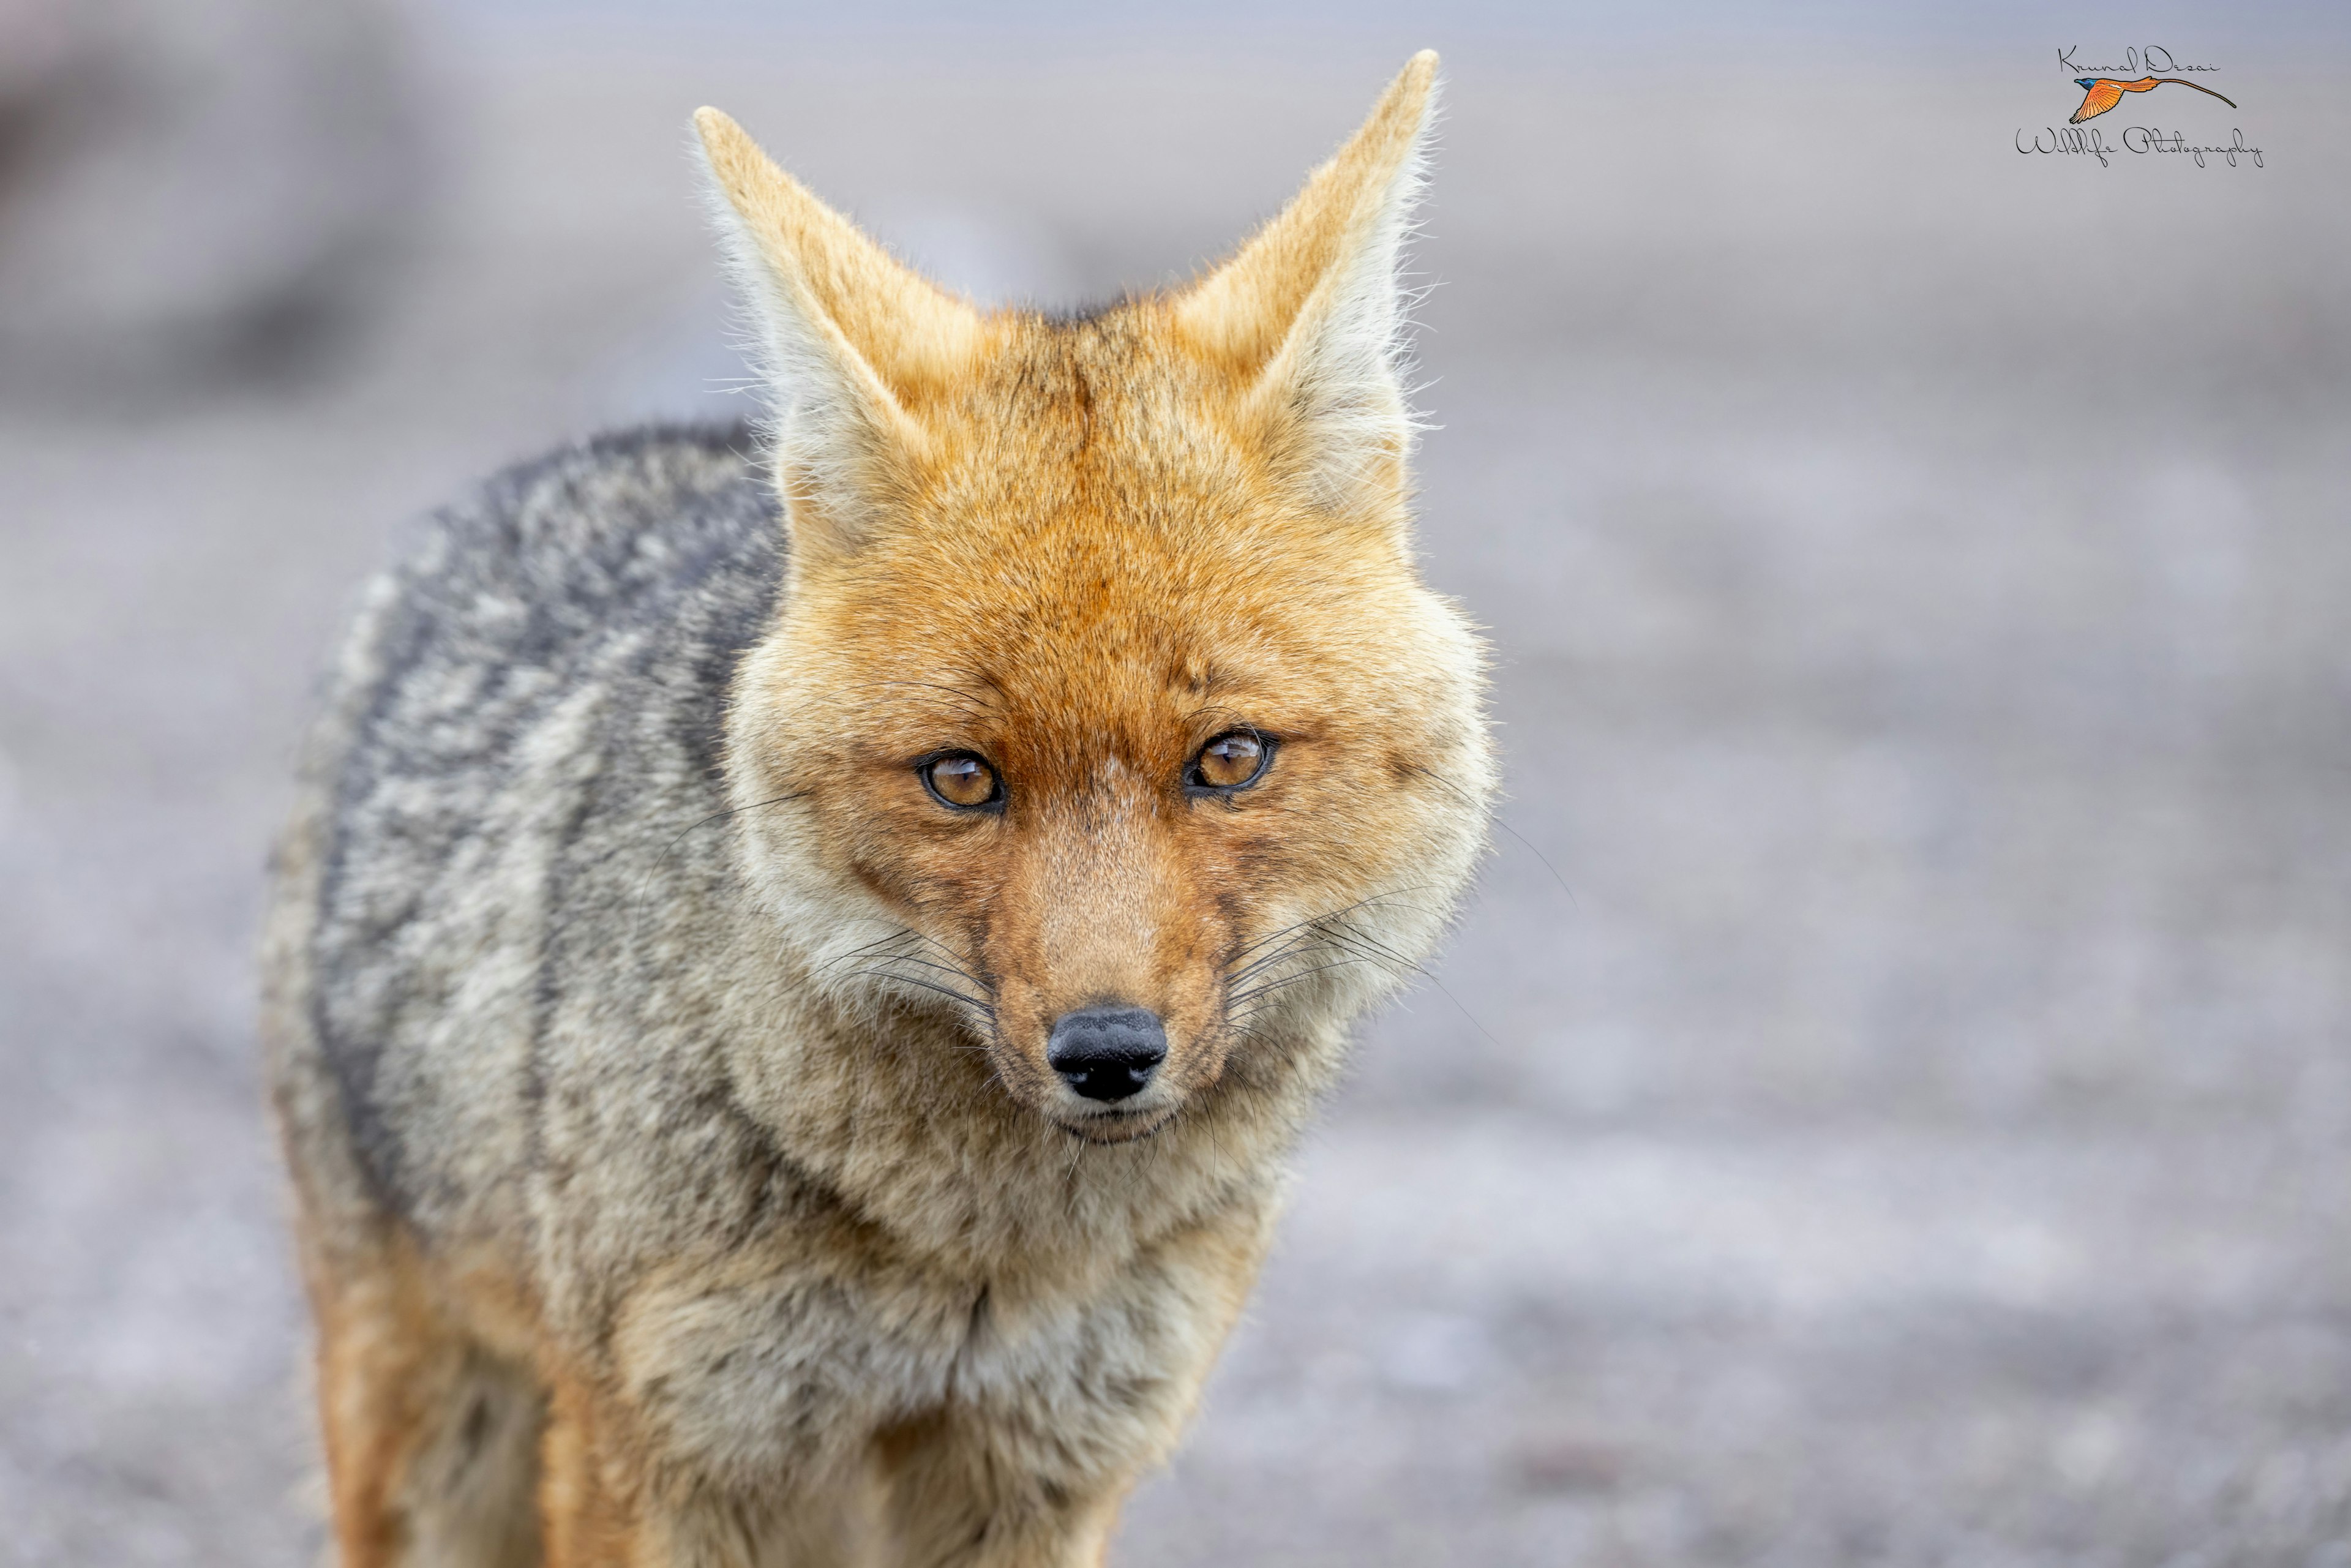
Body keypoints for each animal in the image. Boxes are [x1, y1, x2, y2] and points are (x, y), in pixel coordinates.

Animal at [263, 50, 1493, 1566]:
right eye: (963, 776)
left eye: (1228, 759)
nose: (1106, 1052)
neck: (988, 1244)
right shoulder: (667, 1455)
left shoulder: (1040, 1468)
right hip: (433, 1426)